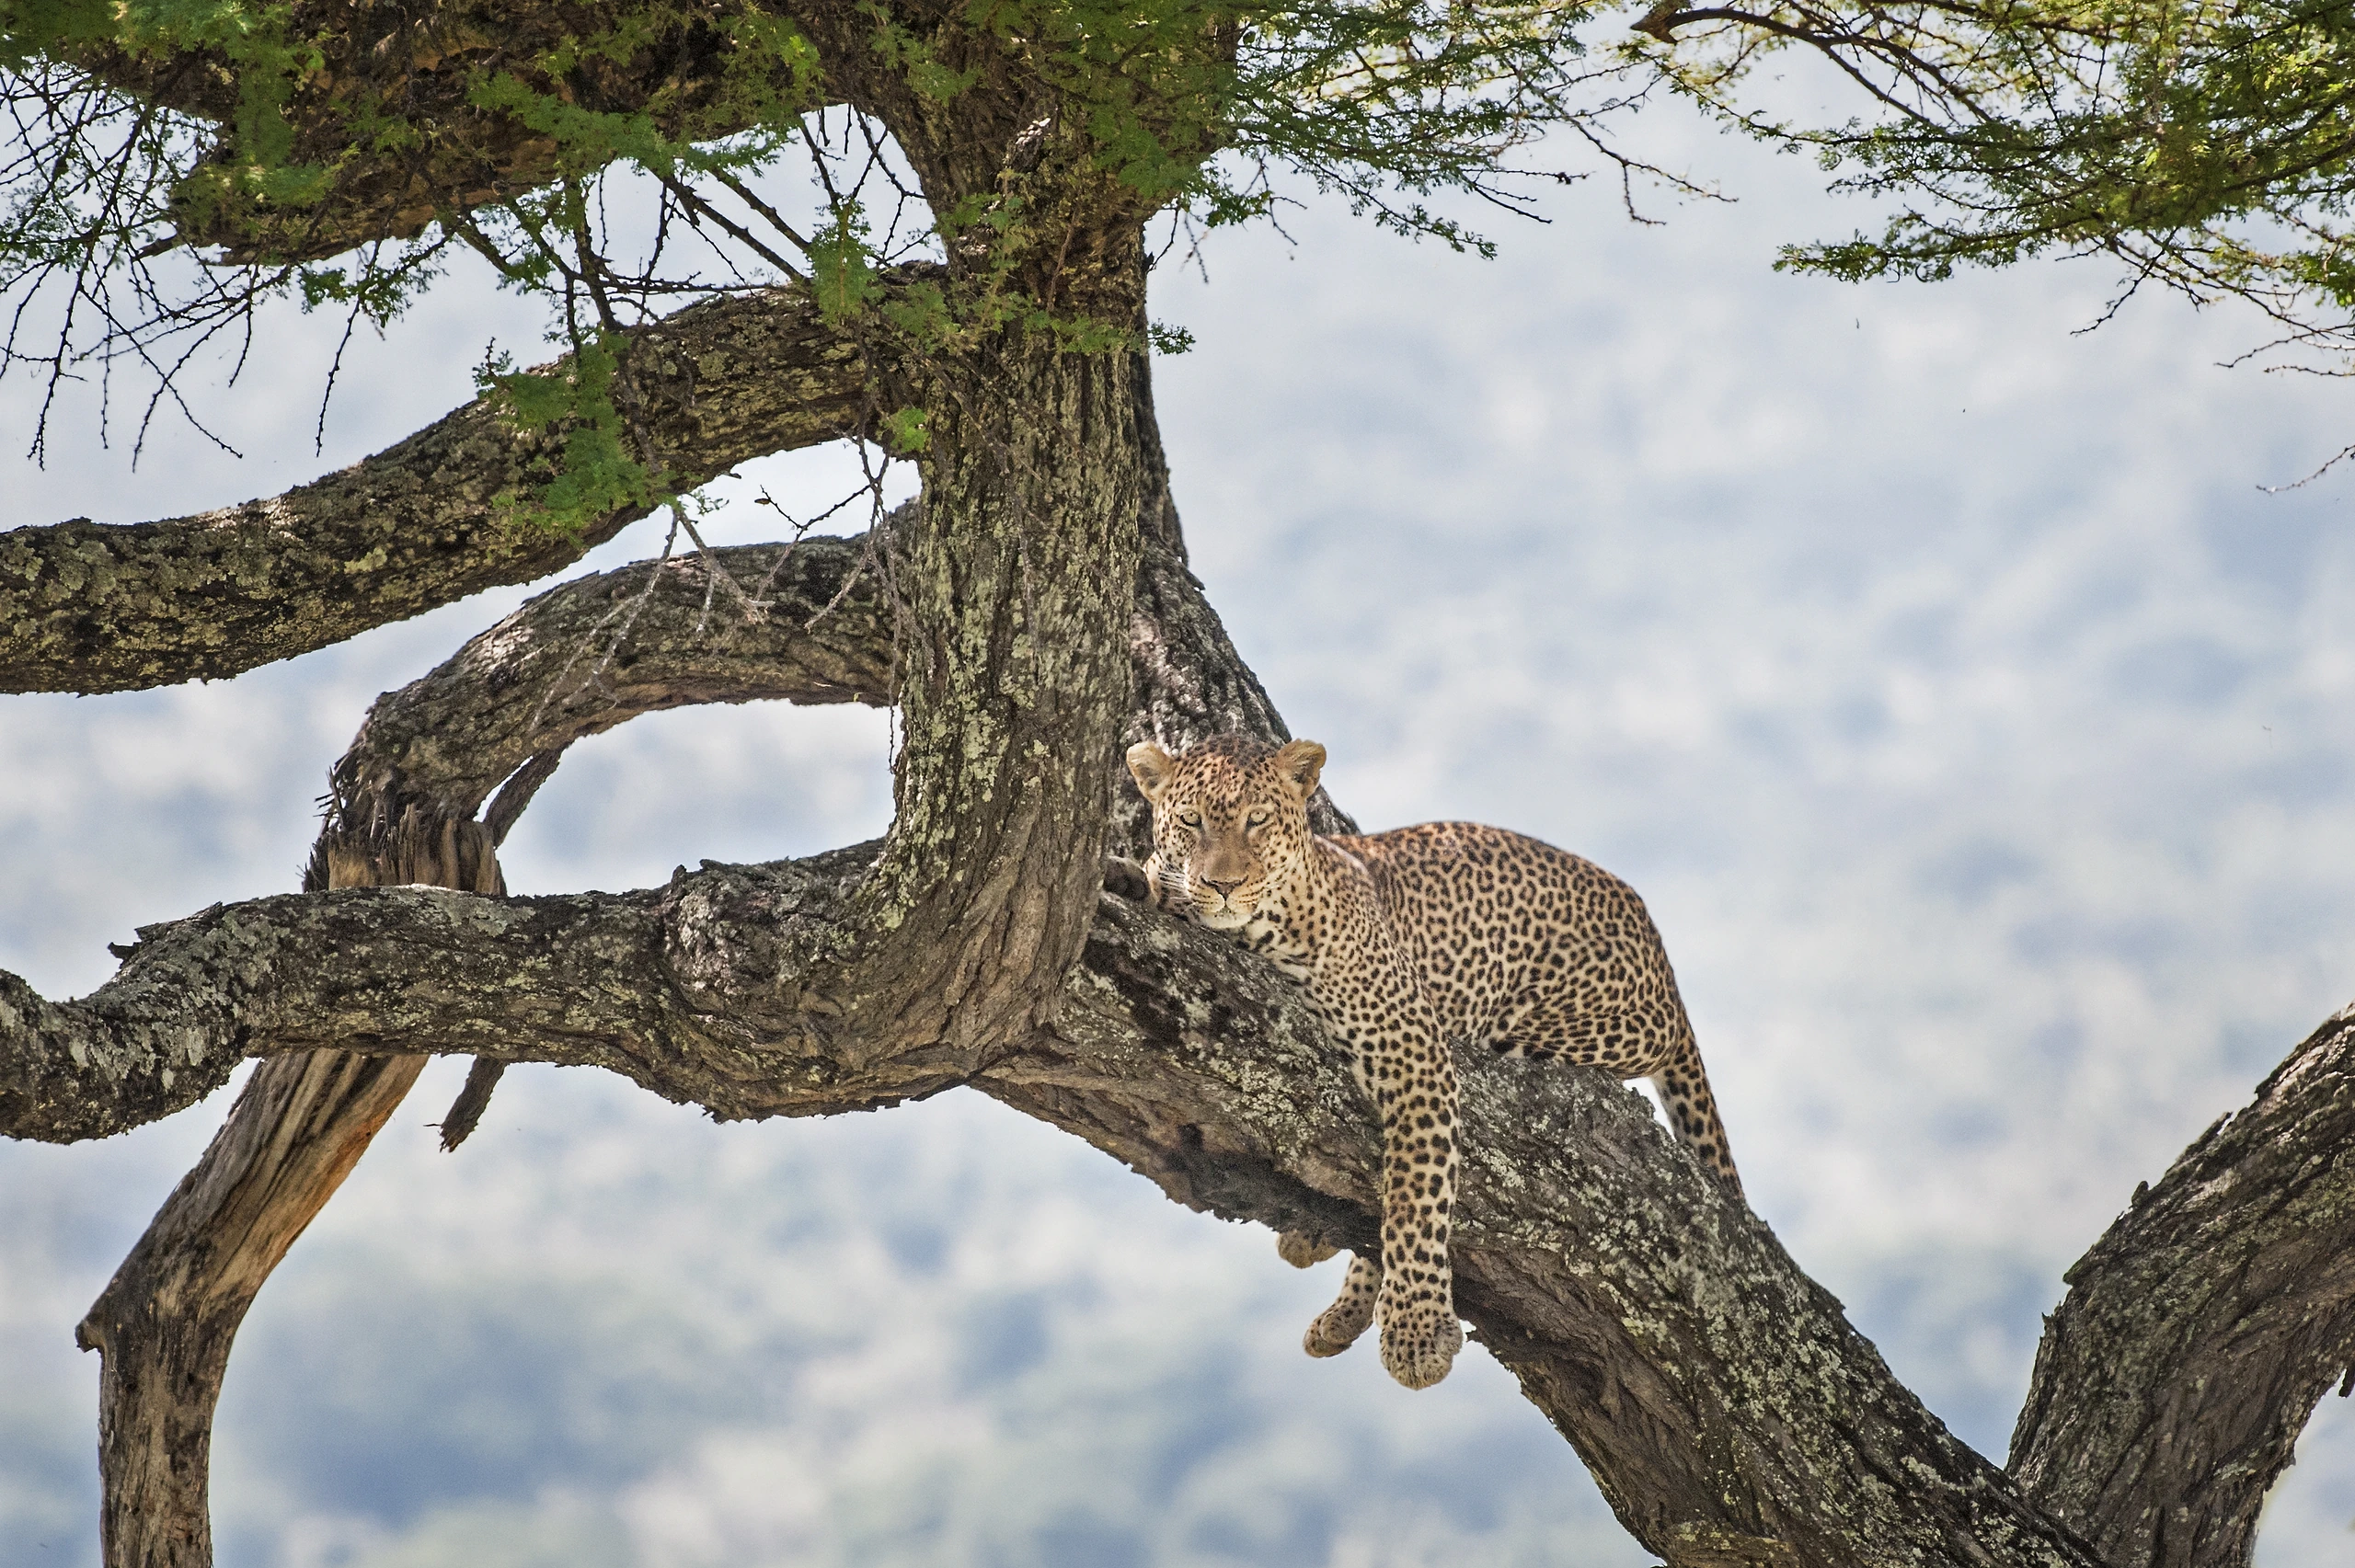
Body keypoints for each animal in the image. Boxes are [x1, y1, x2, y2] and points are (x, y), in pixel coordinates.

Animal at [1122, 734, 1739, 1390]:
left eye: (1257, 821)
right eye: (1191, 822)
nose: (1223, 884)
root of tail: (1654, 938)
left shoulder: (1413, 1049)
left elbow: (1416, 1195)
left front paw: (1415, 1336)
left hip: (1594, 1023)